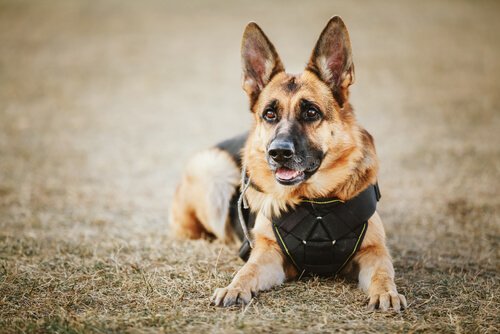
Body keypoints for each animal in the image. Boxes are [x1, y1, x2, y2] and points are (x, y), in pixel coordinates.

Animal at [169, 17, 406, 312]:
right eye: (270, 114)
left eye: (311, 112)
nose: (278, 153)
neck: (316, 203)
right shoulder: (268, 254)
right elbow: (246, 270)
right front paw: (234, 287)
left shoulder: (374, 251)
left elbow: (383, 272)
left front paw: (387, 292)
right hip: (212, 168)